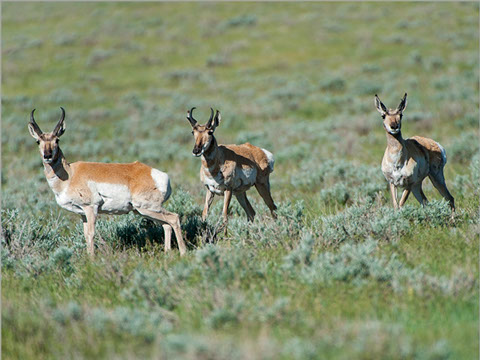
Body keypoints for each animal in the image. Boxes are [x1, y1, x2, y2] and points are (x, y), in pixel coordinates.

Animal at [27, 107, 187, 256]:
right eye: (38, 141)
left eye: (57, 140)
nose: (47, 156)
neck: (70, 175)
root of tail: (158, 174)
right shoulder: (82, 213)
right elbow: (85, 235)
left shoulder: (91, 208)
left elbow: (91, 234)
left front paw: (92, 260)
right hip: (145, 210)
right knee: (166, 224)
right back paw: (167, 252)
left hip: (146, 208)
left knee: (174, 218)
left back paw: (183, 253)